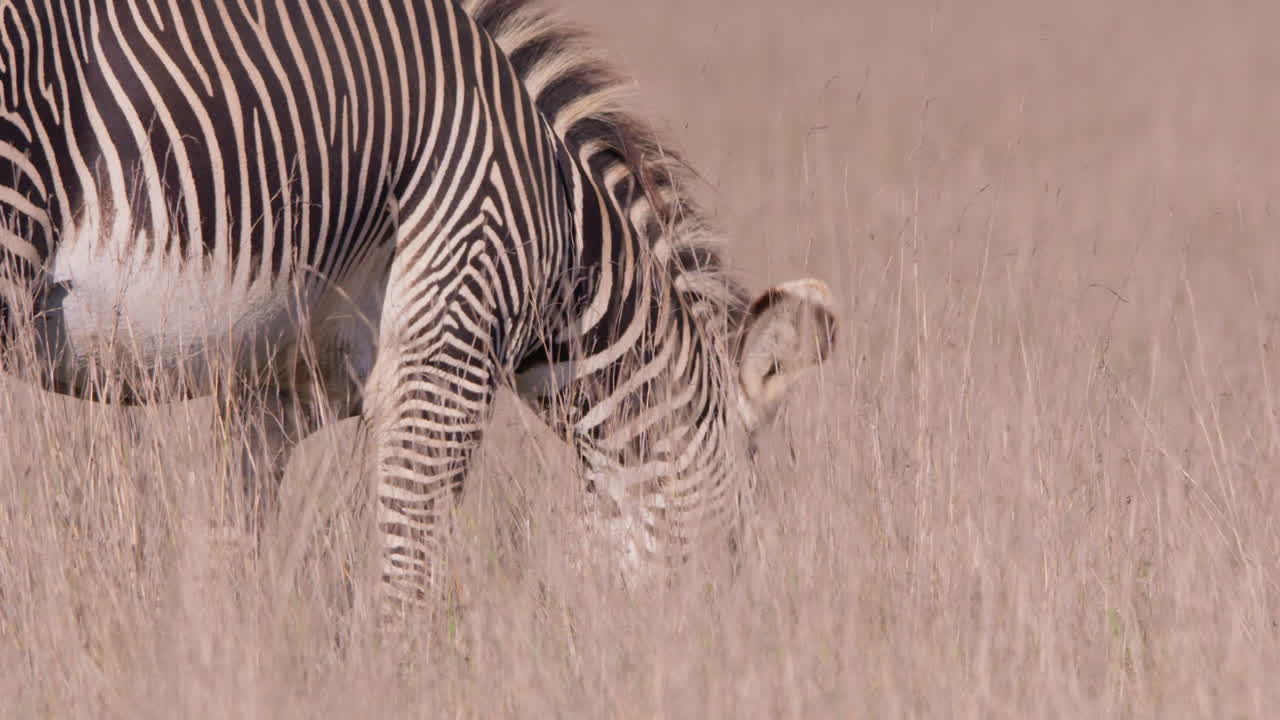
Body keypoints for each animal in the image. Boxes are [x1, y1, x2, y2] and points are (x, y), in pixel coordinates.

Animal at [0, 0, 838, 613]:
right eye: (739, 546)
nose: (714, 647)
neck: (559, 226)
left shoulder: (282, 385)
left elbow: (236, 538)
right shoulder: (446, 351)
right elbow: (412, 570)